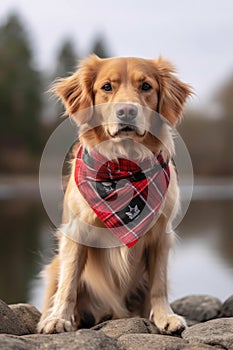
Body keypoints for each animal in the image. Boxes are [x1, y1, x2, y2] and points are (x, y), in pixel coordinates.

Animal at [37, 54, 191, 334]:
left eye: (146, 86)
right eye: (107, 87)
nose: (127, 111)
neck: (124, 165)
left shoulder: (161, 235)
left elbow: (159, 283)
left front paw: (165, 316)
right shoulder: (76, 232)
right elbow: (69, 282)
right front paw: (59, 318)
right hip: (53, 267)